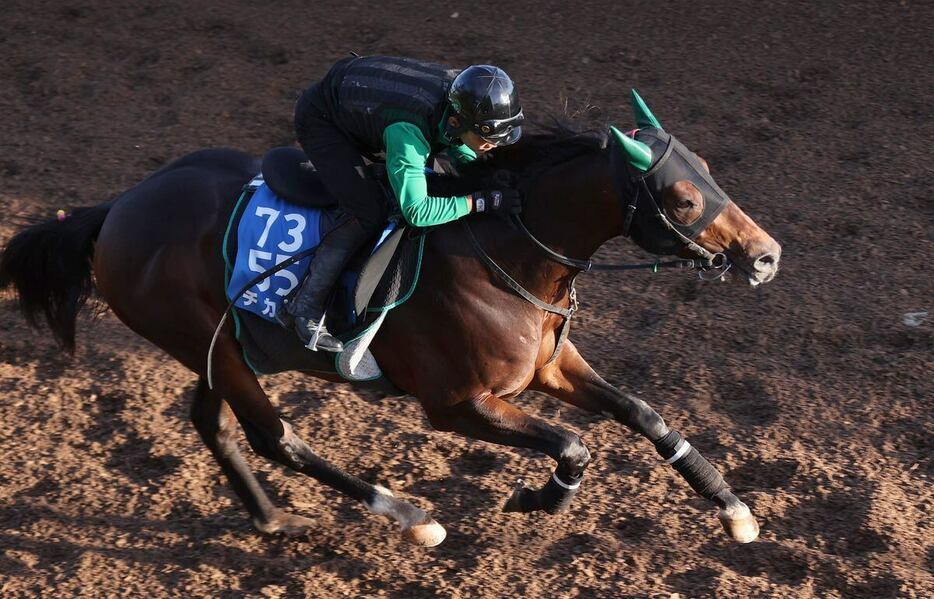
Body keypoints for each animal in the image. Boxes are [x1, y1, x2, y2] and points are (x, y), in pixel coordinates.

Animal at [0, 91, 784, 548]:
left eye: (711, 171)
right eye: (682, 198)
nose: (767, 257)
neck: (505, 251)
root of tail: (116, 210)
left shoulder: (549, 365)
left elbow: (644, 413)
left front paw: (734, 508)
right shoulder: (458, 404)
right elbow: (574, 446)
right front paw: (537, 500)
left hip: (222, 345)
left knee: (213, 423)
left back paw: (273, 518)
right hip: (207, 343)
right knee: (276, 437)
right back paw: (411, 517)